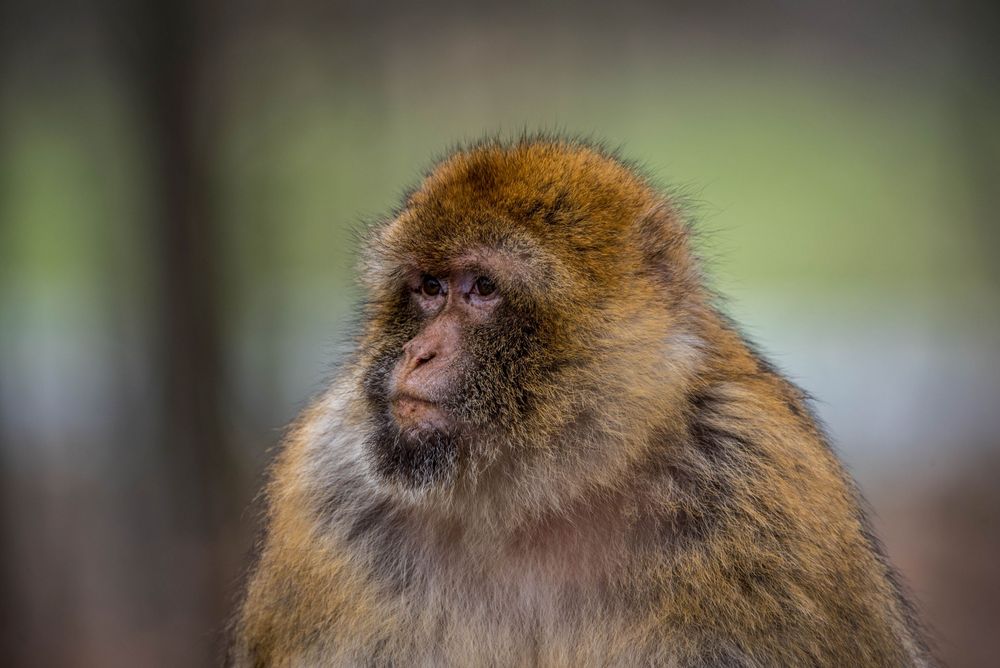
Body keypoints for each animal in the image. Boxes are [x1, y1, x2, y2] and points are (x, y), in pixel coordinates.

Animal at [227, 137, 936, 668]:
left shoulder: (760, 486)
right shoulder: (330, 494)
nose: (418, 354)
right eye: (428, 288)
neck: (537, 495)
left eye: (481, 288)